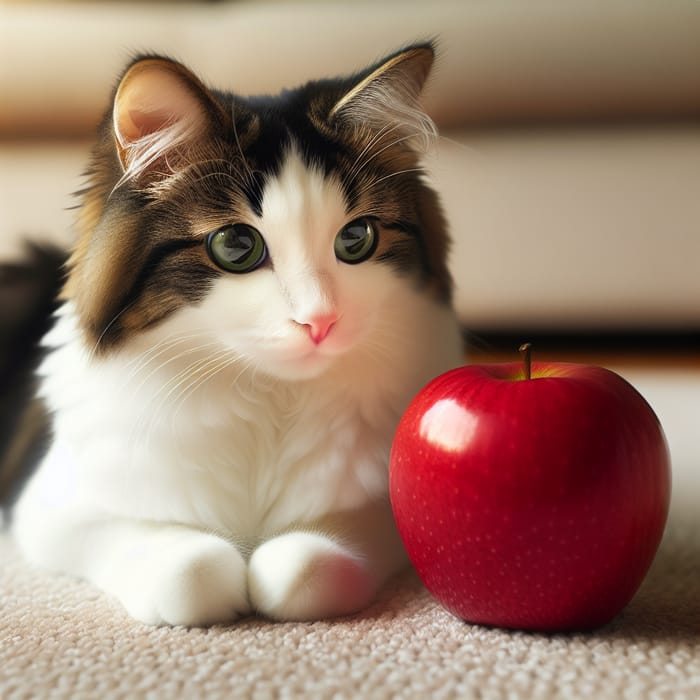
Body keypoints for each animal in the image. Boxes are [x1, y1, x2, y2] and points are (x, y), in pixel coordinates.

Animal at [8, 41, 464, 628]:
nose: (320, 320)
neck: (268, 397)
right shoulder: (51, 507)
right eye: (236, 247)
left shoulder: (382, 504)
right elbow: (191, 568)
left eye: (356, 239)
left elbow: (308, 564)